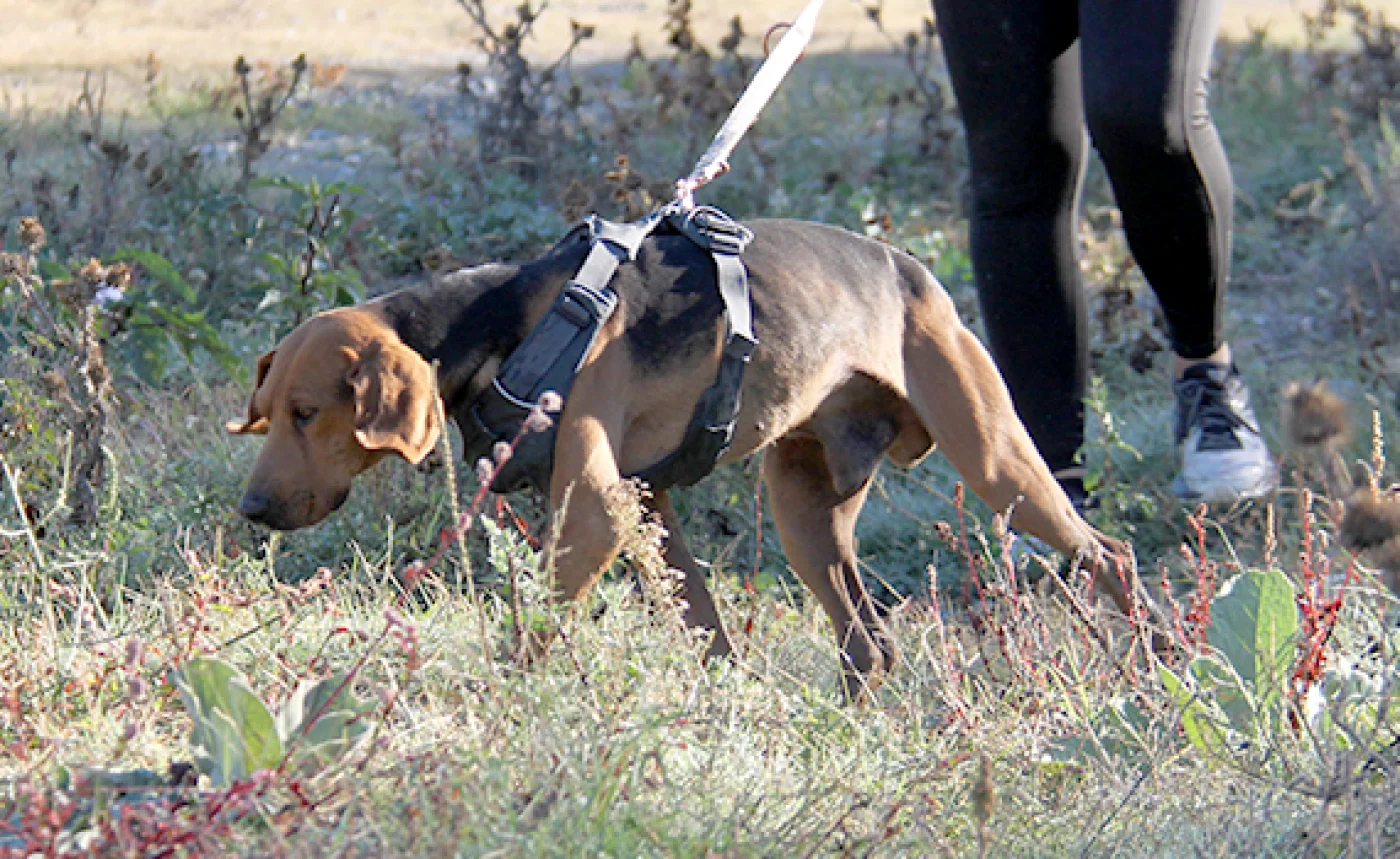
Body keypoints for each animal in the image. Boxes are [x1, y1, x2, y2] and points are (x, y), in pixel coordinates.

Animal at [229, 218, 1133, 696]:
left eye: (308, 415)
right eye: (267, 417)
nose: (251, 511)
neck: (505, 320)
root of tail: (913, 269)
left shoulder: (594, 511)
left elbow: (538, 631)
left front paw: (501, 701)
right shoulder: (643, 504)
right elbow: (705, 628)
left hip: (999, 466)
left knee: (1109, 553)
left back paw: (1153, 661)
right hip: (805, 508)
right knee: (868, 639)